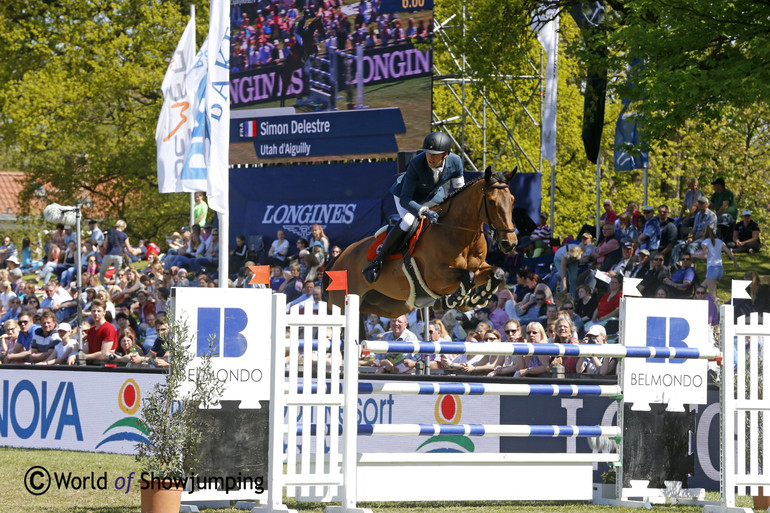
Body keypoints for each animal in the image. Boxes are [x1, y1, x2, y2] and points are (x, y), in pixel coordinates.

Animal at [324, 166, 516, 318]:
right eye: (491, 202)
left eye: (512, 200)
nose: (510, 243)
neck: (460, 233)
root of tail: (339, 257)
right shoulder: (435, 277)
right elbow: (467, 277)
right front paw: (455, 300)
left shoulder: (478, 267)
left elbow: (497, 272)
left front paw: (478, 297)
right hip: (345, 303)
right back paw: (372, 269)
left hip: (392, 306)